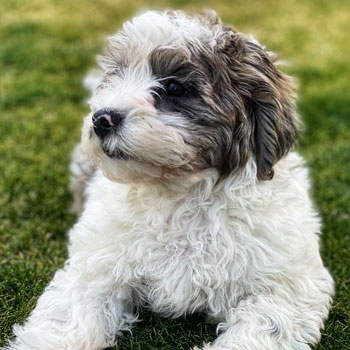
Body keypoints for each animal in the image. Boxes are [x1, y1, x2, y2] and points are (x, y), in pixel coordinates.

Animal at [6, 9, 334, 350]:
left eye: (175, 87)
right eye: (117, 74)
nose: (101, 119)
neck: (179, 193)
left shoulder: (288, 284)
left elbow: (263, 327)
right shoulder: (94, 267)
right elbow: (66, 319)